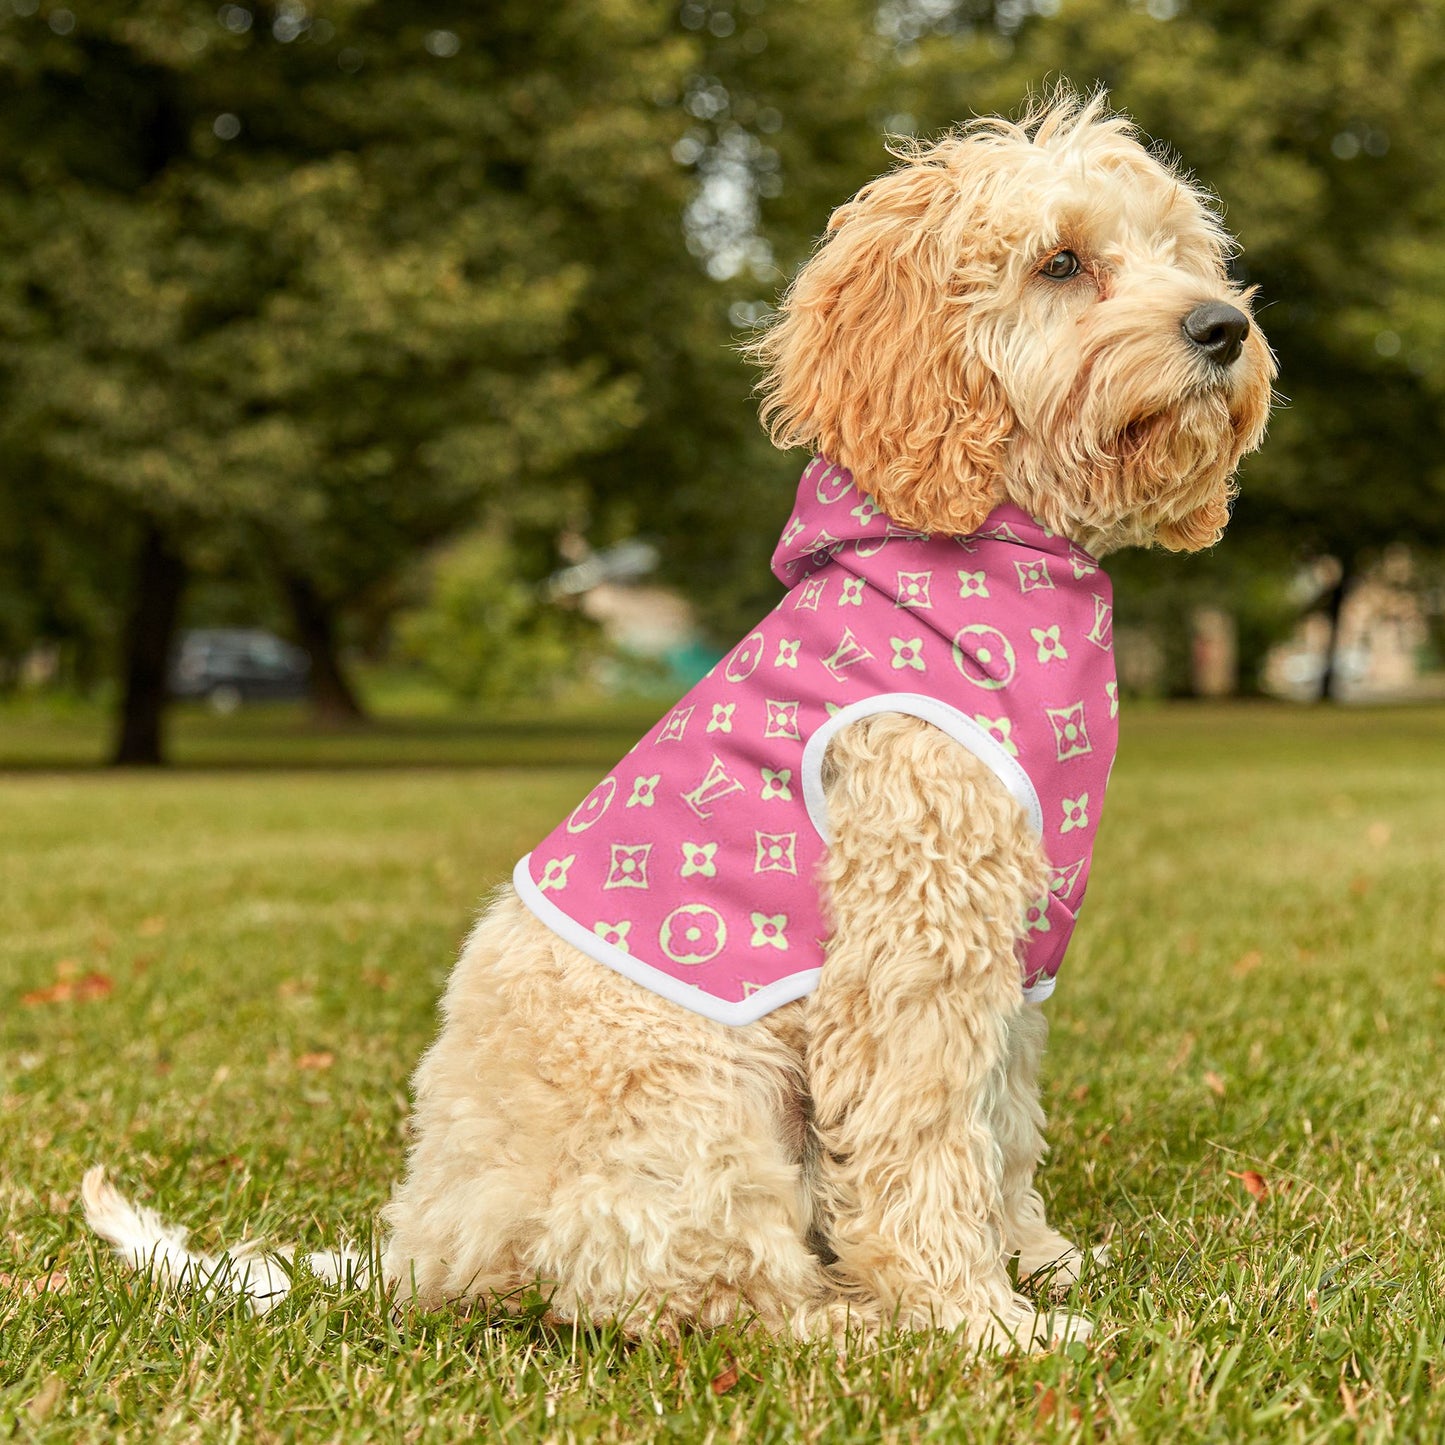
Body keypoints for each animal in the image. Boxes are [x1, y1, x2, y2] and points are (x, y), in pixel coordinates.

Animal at [84, 96, 1271, 1346]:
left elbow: (1000, 1123)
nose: (1222, 326)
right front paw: (978, 1319)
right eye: (1060, 262)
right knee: (702, 1289)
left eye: (1181, 252)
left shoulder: (1013, 949)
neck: (992, 552)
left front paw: (1035, 1259)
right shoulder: (912, 940)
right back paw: (849, 1318)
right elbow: (925, 1141)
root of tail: (423, 1248)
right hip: (703, 1105)